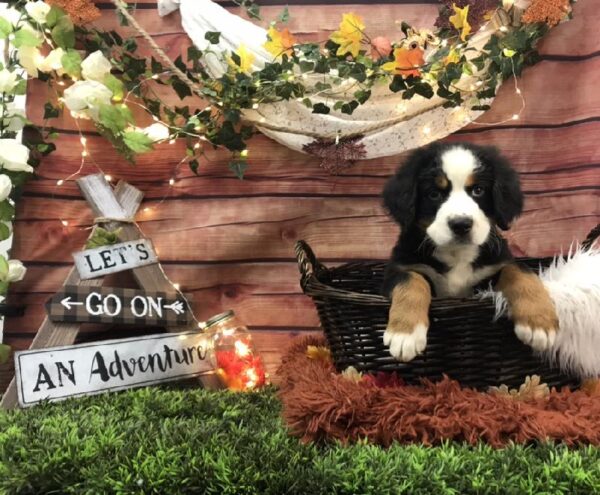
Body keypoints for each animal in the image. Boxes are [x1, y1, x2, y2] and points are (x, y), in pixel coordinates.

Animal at [382, 141, 560, 362]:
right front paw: (405, 333)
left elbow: (519, 270)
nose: (460, 224)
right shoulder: (399, 268)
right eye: (434, 194)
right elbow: (412, 280)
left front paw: (539, 323)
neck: (457, 253)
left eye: (478, 190)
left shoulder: (494, 267)